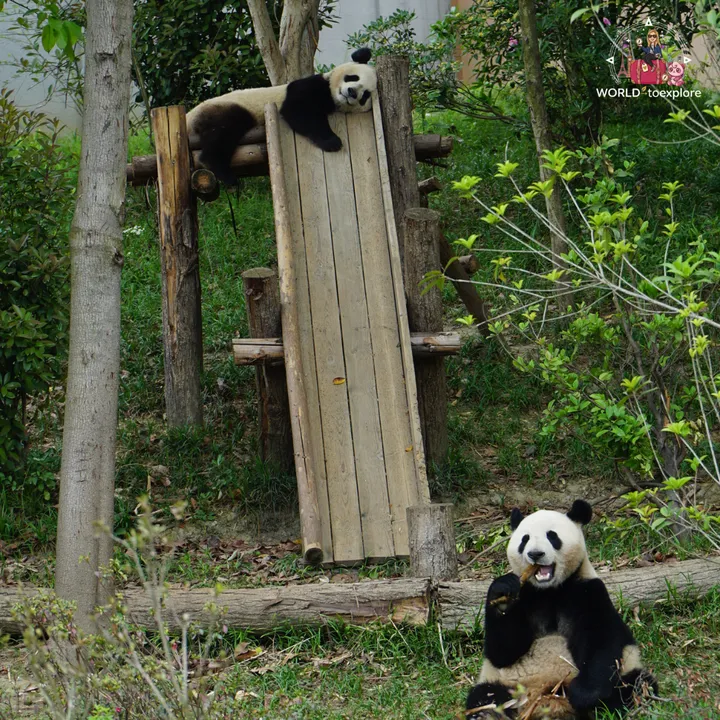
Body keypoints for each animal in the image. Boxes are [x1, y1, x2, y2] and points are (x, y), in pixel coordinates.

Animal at [186, 48, 376, 185]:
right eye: (353, 77)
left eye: (365, 95)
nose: (352, 92)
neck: (332, 96)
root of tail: (188, 117)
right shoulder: (305, 87)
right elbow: (298, 111)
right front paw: (332, 141)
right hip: (225, 109)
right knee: (225, 131)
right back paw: (223, 172)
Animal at [466, 500, 657, 720]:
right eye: (524, 539)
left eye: (552, 536)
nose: (535, 554)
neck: (550, 590)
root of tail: (542, 702)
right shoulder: (527, 596)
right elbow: (503, 651)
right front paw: (503, 592)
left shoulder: (586, 592)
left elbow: (602, 640)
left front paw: (583, 694)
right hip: (505, 683)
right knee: (484, 696)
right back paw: (486, 714)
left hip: (626, 671)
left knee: (635, 685)